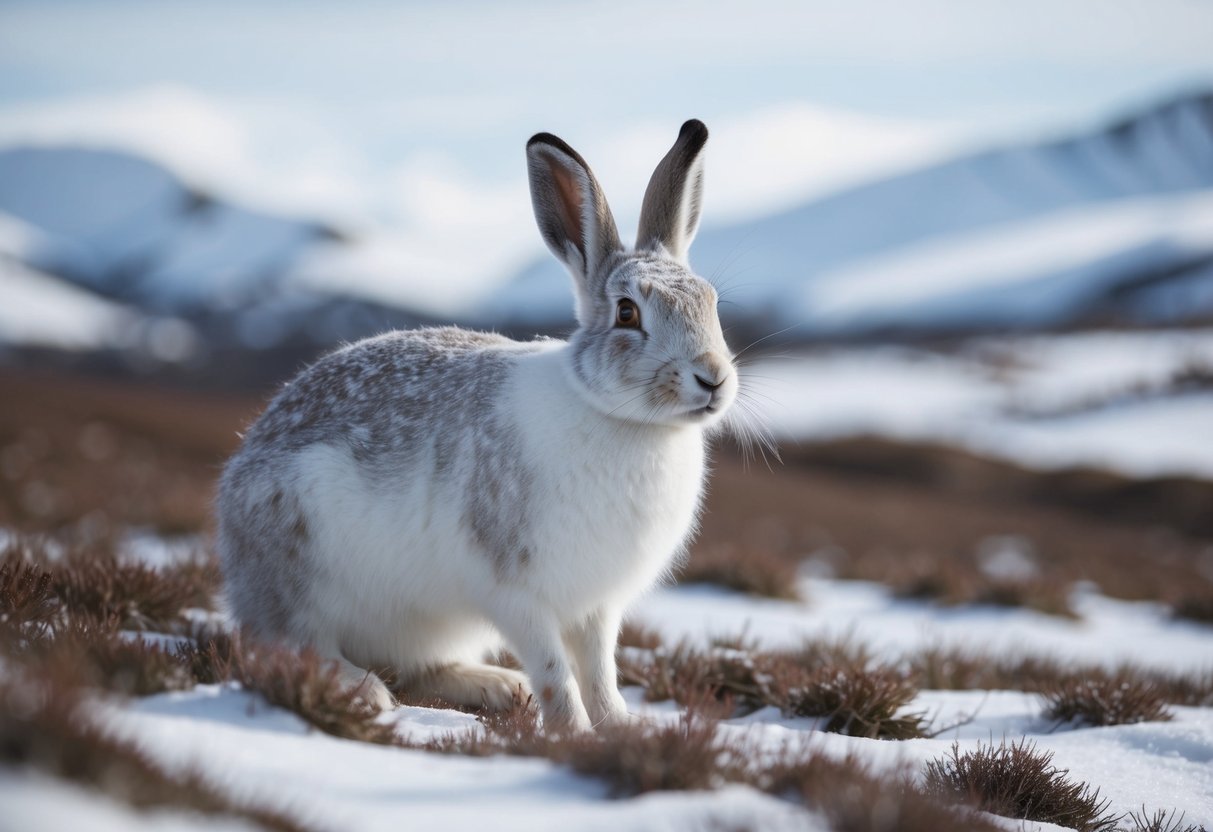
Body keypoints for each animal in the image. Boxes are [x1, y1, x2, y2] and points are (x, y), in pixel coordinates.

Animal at [216, 119, 737, 732]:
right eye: (628, 313)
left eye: (711, 302)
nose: (713, 378)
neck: (618, 416)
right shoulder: (515, 591)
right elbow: (557, 670)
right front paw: (575, 732)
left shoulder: (596, 607)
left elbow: (600, 671)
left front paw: (620, 727)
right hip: (303, 569)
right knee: (290, 644)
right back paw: (363, 692)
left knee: (419, 666)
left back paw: (497, 687)